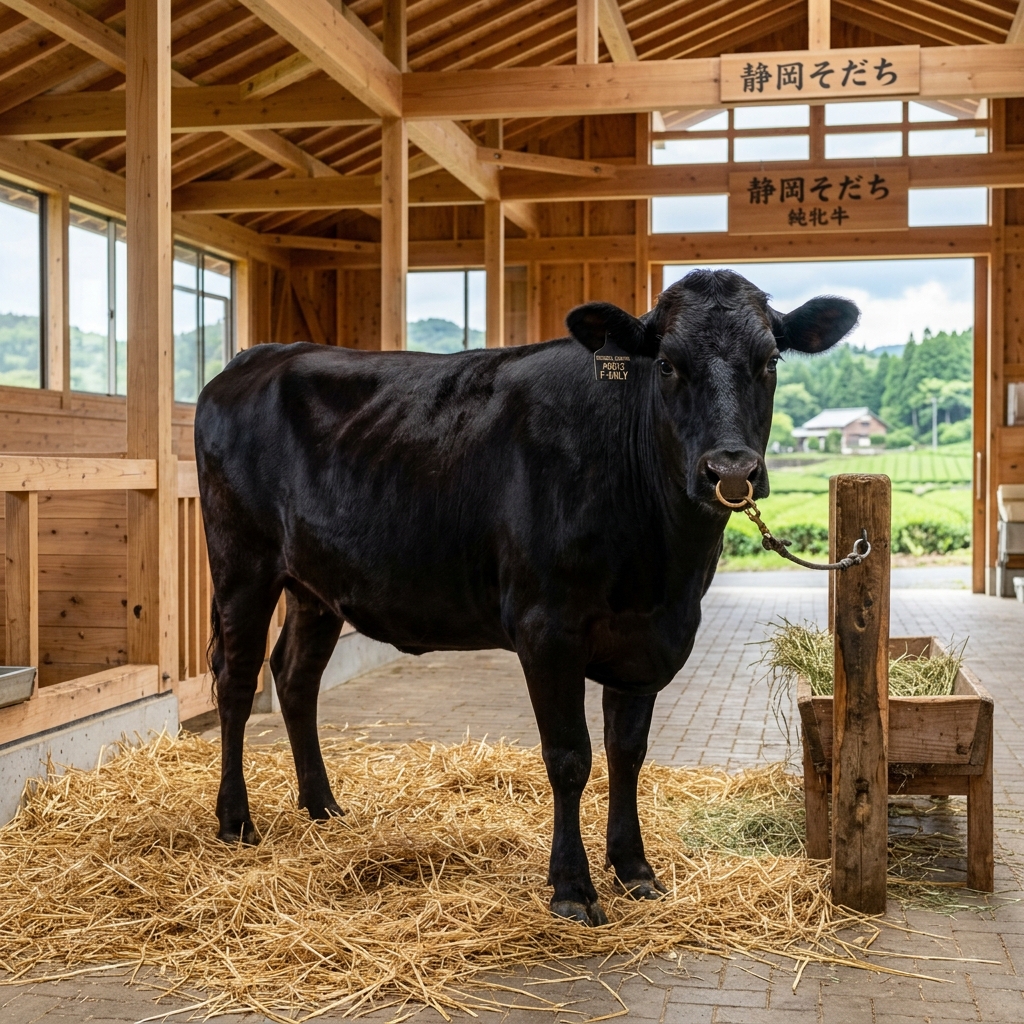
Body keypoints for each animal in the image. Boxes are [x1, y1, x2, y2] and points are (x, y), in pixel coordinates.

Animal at [195, 268, 858, 926]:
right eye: (667, 363)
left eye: (770, 360)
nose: (731, 470)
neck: (662, 569)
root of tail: (259, 356)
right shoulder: (547, 628)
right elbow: (569, 756)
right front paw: (572, 887)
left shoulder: (646, 639)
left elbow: (628, 753)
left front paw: (634, 869)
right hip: (241, 564)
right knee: (236, 679)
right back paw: (235, 820)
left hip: (315, 586)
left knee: (295, 676)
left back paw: (322, 806)